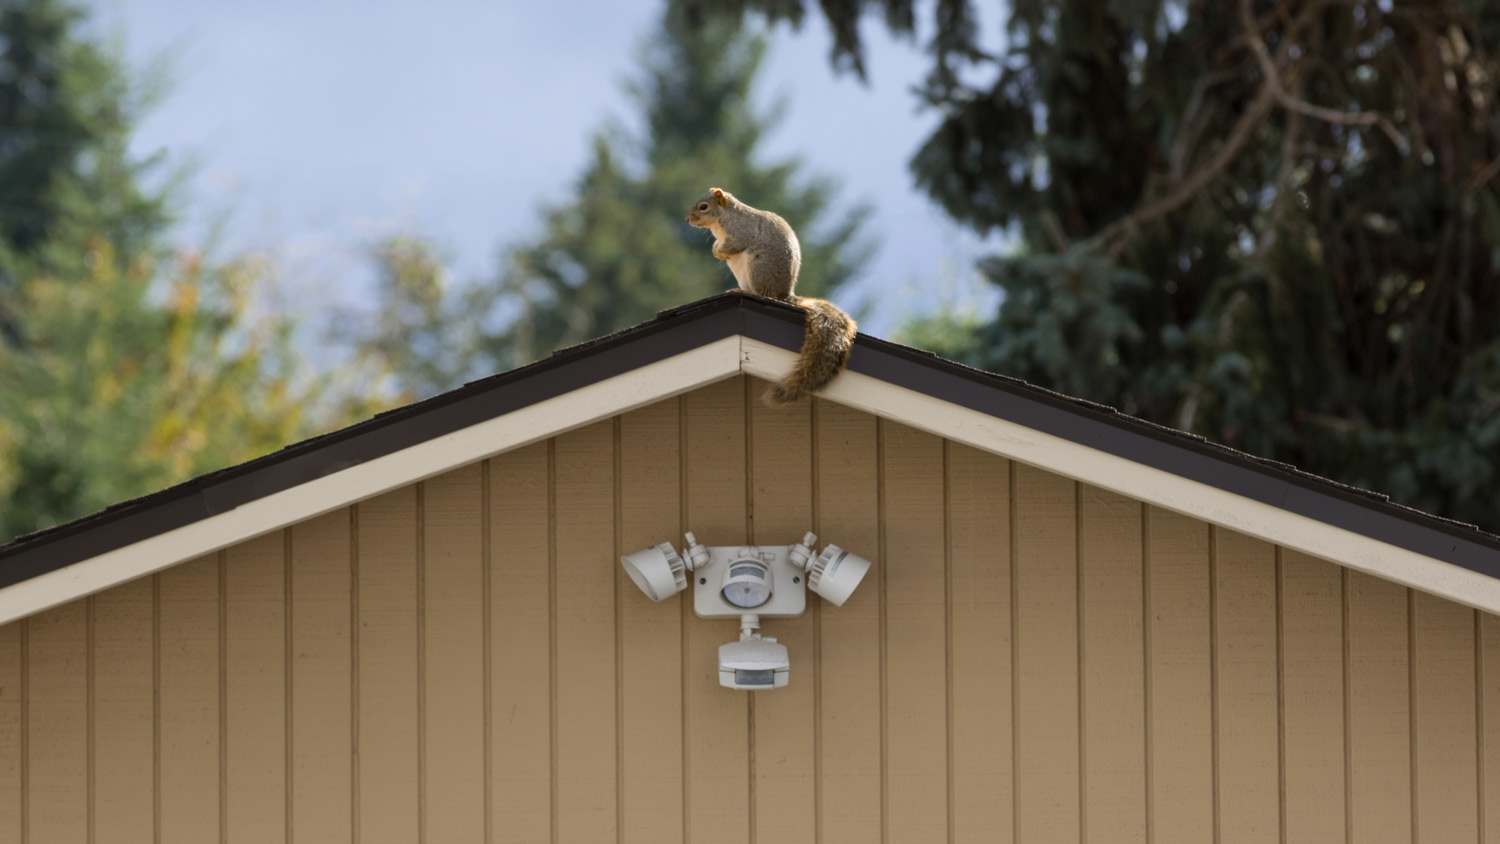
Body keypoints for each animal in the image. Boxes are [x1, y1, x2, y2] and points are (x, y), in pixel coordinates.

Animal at [685, 186, 857, 406]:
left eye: (703, 207)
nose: (688, 219)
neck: (722, 220)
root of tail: (784, 295)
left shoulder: (740, 232)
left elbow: (733, 245)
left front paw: (718, 252)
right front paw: (716, 250)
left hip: (757, 268)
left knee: (760, 292)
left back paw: (743, 291)